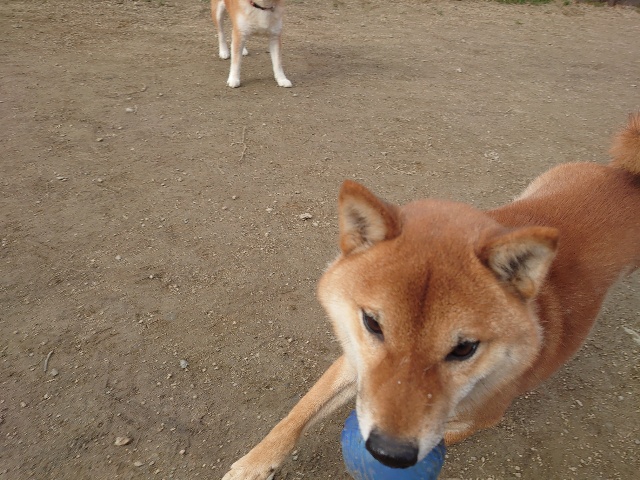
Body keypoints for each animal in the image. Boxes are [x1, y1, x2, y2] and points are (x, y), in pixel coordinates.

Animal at [222, 114, 640, 479]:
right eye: (372, 324)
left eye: (465, 349)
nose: (389, 453)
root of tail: (624, 176)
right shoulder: (353, 360)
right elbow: (296, 415)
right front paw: (253, 464)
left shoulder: (474, 422)